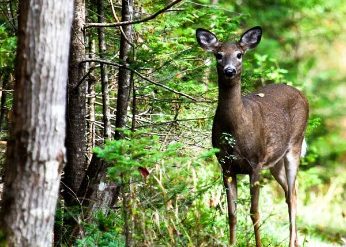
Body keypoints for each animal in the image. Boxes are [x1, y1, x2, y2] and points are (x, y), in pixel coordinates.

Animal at [196, 26, 310, 246]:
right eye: (218, 55)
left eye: (239, 54)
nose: (229, 70)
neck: (235, 129)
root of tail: (301, 94)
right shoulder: (226, 165)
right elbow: (232, 213)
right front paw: (231, 243)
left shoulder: (255, 163)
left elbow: (254, 212)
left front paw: (259, 243)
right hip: (275, 161)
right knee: (291, 192)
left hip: (295, 144)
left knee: (292, 194)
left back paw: (292, 242)